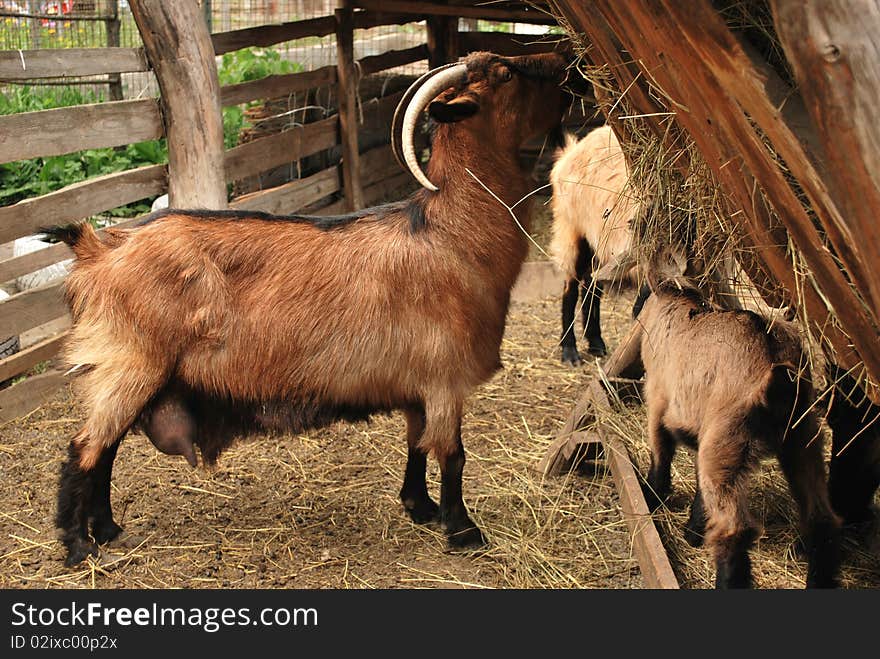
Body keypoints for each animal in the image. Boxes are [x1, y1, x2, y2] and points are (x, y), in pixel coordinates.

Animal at [49, 51, 572, 568]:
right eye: (506, 72)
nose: (565, 65)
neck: (449, 233)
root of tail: (97, 251)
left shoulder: (417, 382)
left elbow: (416, 443)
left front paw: (419, 507)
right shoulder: (445, 377)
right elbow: (452, 454)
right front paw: (463, 532)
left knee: (106, 448)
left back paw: (108, 530)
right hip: (130, 364)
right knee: (86, 449)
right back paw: (78, 547)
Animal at [632, 256, 840, 588]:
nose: (634, 309)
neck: (677, 304)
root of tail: (777, 371)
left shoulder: (658, 401)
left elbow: (660, 456)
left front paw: (652, 500)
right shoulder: (701, 430)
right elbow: (699, 485)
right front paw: (693, 530)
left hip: (729, 437)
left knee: (734, 530)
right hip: (801, 439)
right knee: (821, 519)